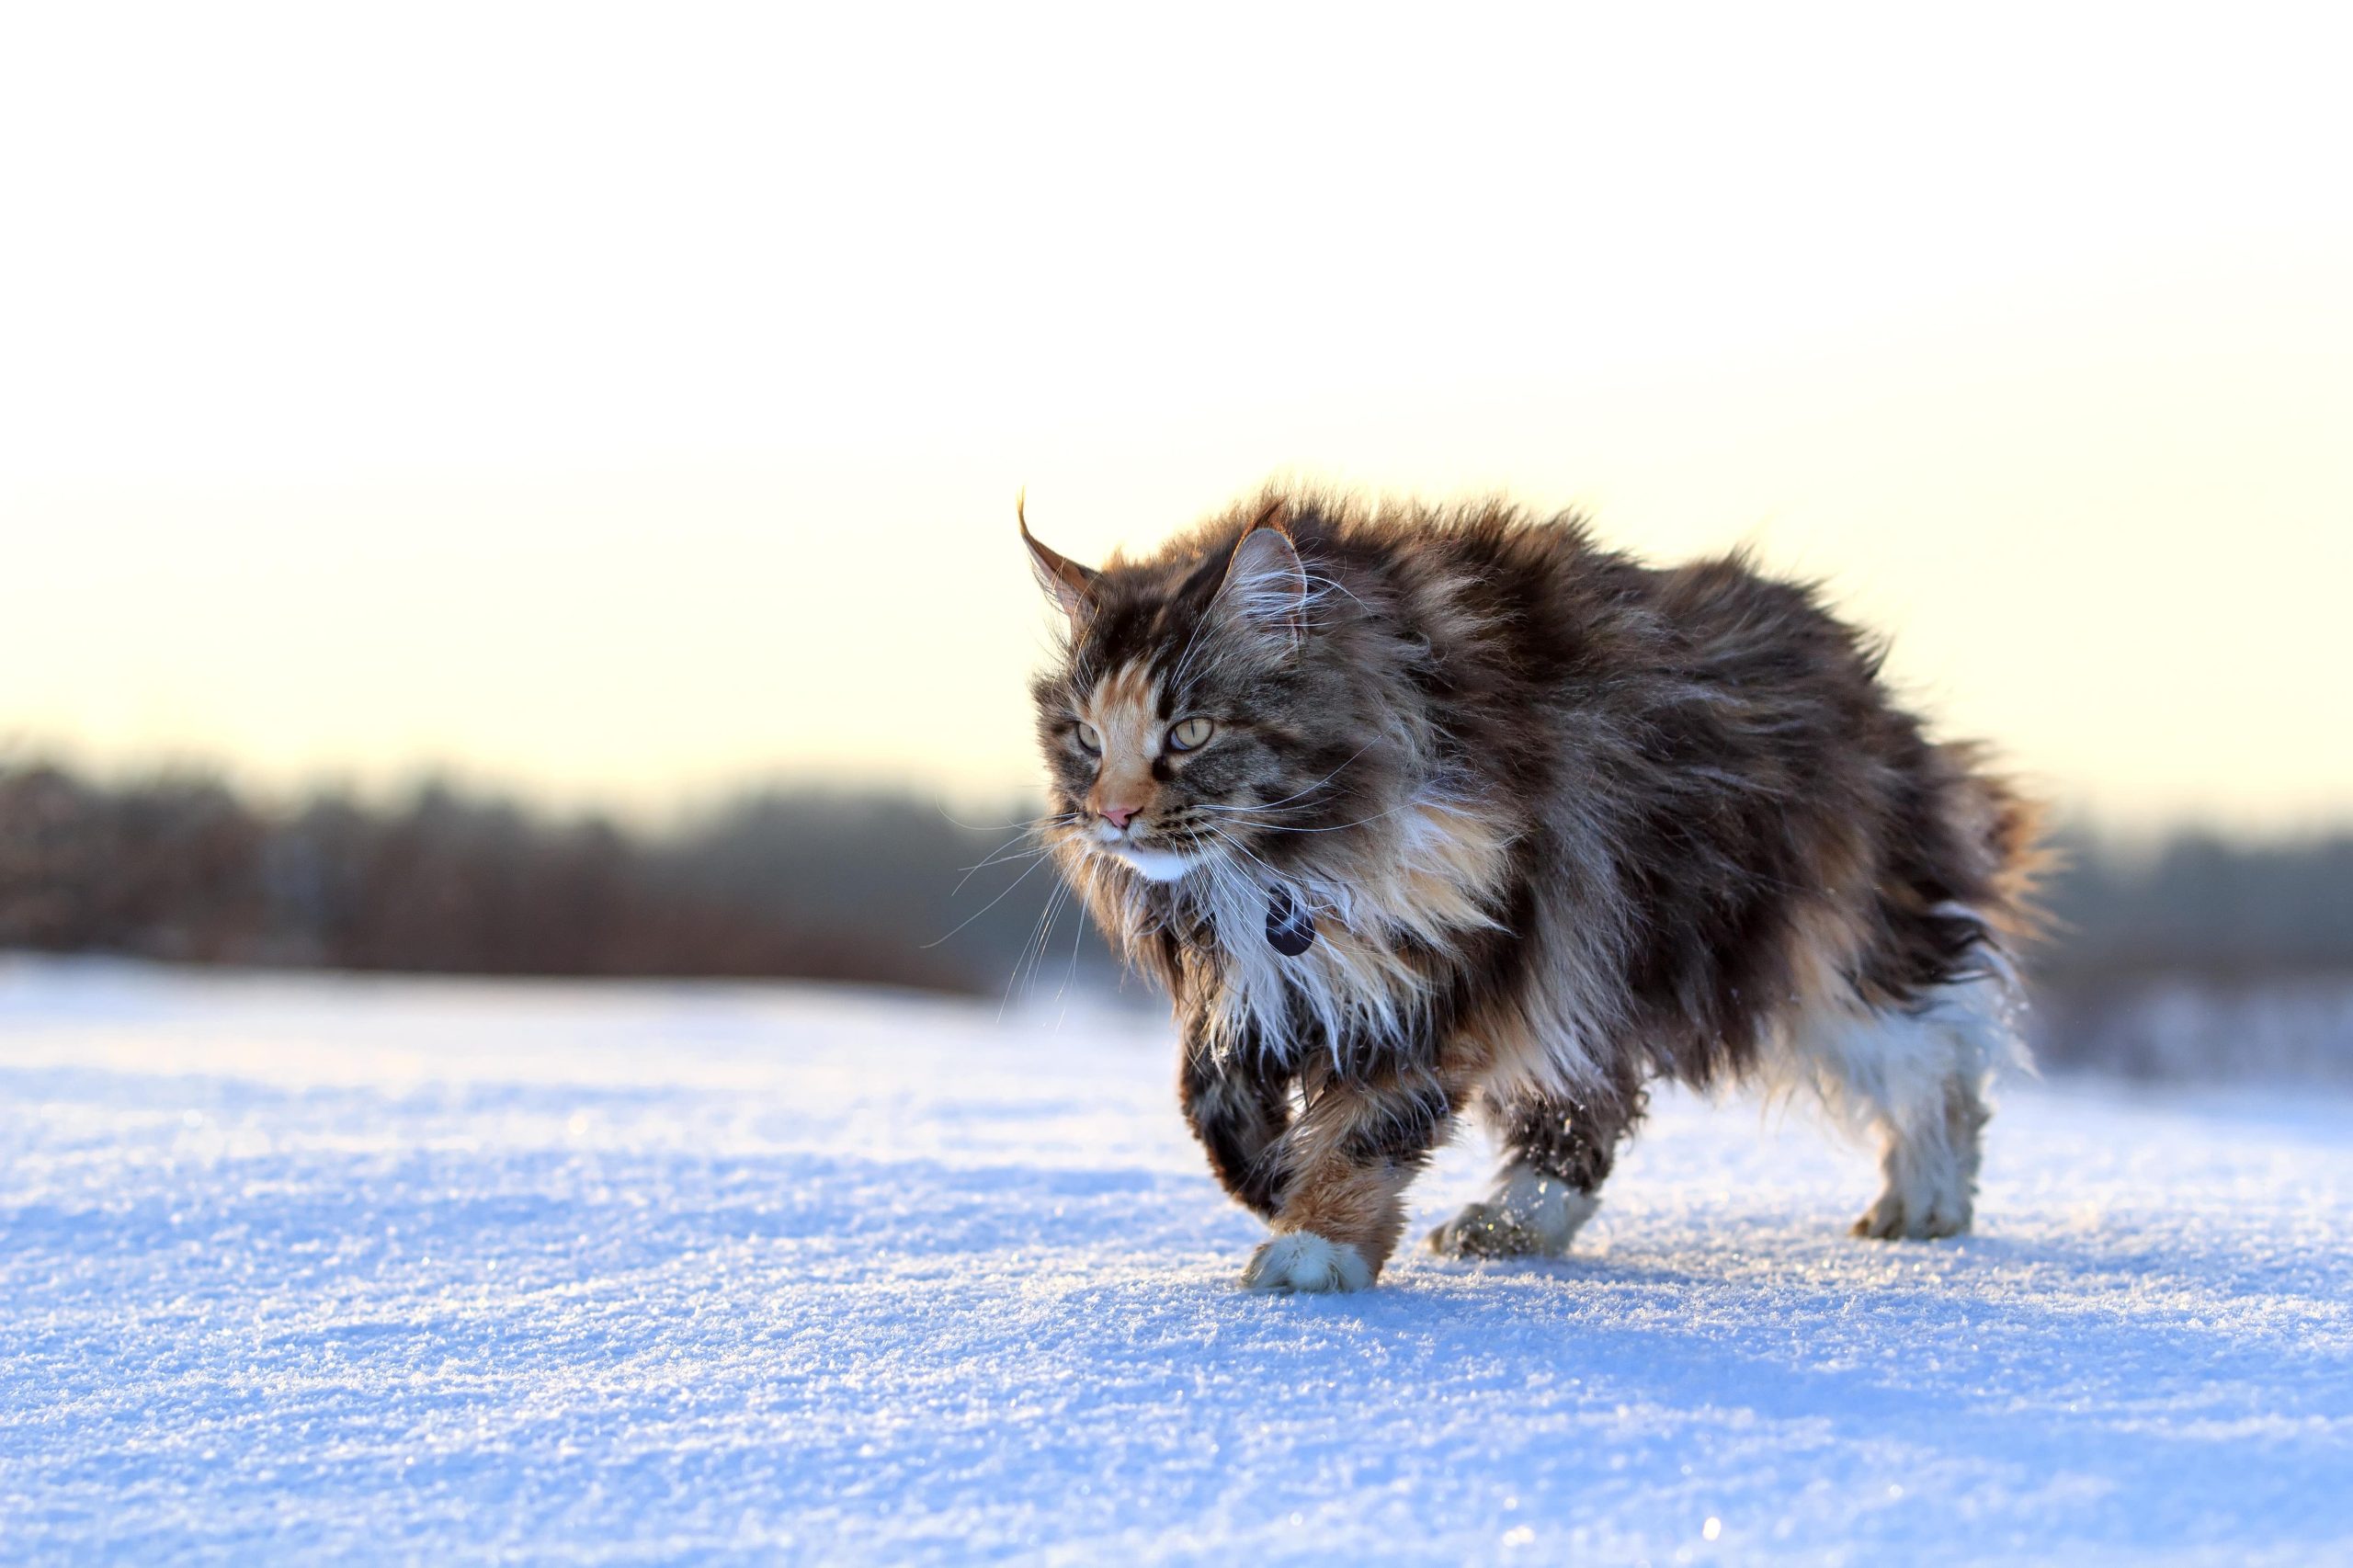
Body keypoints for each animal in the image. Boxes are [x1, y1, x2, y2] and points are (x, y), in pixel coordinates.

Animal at [1026, 484, 2042, 1280]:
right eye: (1085, 736)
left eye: (1190, 731)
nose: (1112, 815)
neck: (1282, 860)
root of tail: (1863, 680)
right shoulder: (1270, 974)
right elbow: (1211, 1094)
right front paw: (1275, 1178)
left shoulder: (1465, 946)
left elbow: (1368, 1123)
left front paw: (1314, 1245)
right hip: (1600, 960)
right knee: (1587, 1109)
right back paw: (1509, 1226)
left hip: (1803, 932)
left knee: (1935, 1052)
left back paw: (1928, 1198)